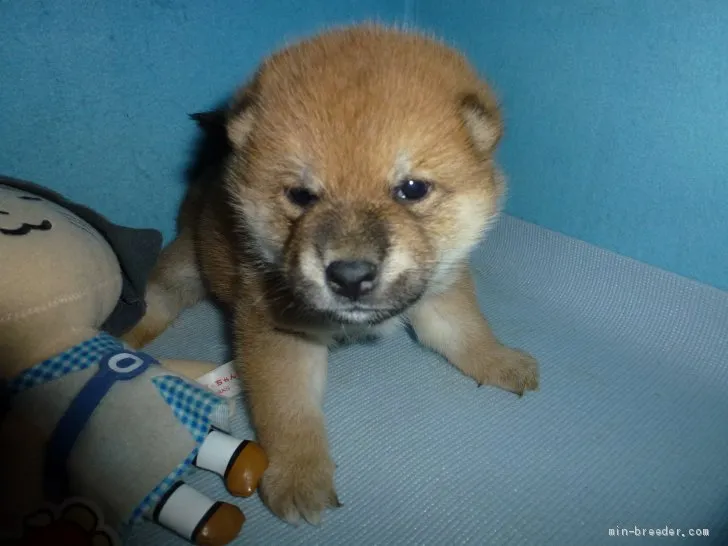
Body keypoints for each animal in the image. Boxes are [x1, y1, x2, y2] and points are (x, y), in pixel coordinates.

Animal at [123, 24, 536, 524]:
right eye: (302, 195)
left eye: (412, 189)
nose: (350, 276)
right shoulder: (279, 332)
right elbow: (288, 411)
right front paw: (298, 476)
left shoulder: (440, 289)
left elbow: (466, 333)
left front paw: (501, 361)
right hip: (185, 266)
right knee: (156, 298)